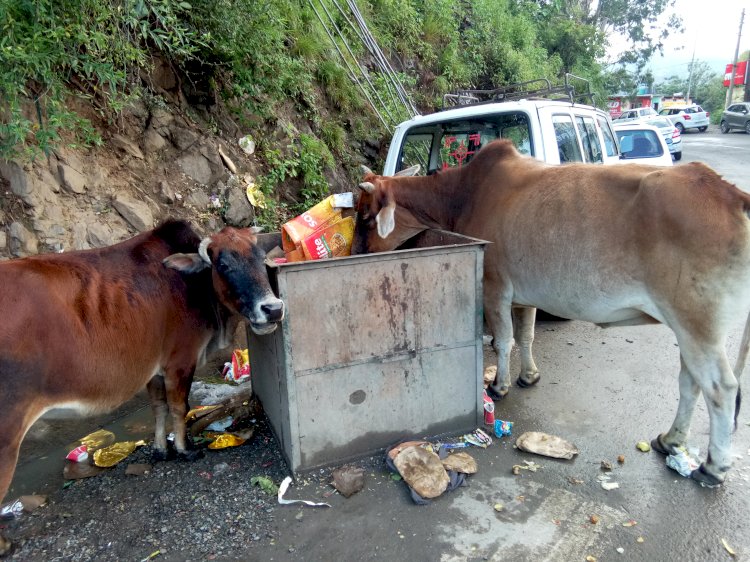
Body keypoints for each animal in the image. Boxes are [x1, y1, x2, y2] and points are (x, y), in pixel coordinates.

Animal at [0, 219, 284, 552]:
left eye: (260, 259)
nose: (272, 309)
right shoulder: (179, 361)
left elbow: (159, 408)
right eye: (223, 264)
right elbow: (179, 407)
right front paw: (185, 449)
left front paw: (161, 449)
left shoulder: (155, 372)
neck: (192, 286)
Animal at [352, 139, 750, 486]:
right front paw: (529, 376)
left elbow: (504, 341)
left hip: (698, 324)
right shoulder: (524, 295)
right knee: (690, 382)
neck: (464, 195)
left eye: (367, 218)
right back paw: (670, 440)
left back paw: (712, 467)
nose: (356, 255)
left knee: (722, 389)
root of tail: (731, 194)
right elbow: (526, 335)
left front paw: (499, 385)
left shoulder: (495, 286)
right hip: (689, 329)